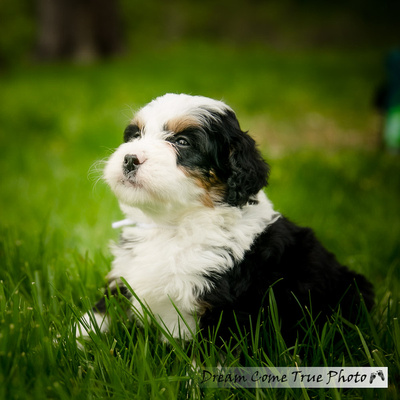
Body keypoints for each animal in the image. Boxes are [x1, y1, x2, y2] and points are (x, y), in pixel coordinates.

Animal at [76, 94, 376, 346]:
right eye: (136, 135)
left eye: (182, 142)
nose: (129, 159)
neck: (173, 225)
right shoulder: (124, 280)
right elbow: (98, 317)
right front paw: (70, 346)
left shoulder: (223, 310)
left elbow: (210, 357)